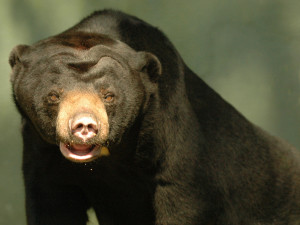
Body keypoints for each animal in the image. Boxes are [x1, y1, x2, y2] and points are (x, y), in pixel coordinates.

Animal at [8, 8, 300, 225]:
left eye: (109, 96)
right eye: (53, 96)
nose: (84, 126)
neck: (110, 155)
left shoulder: (172, 132)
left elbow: (181, 197)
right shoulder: (40, 149)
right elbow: (52, 203)